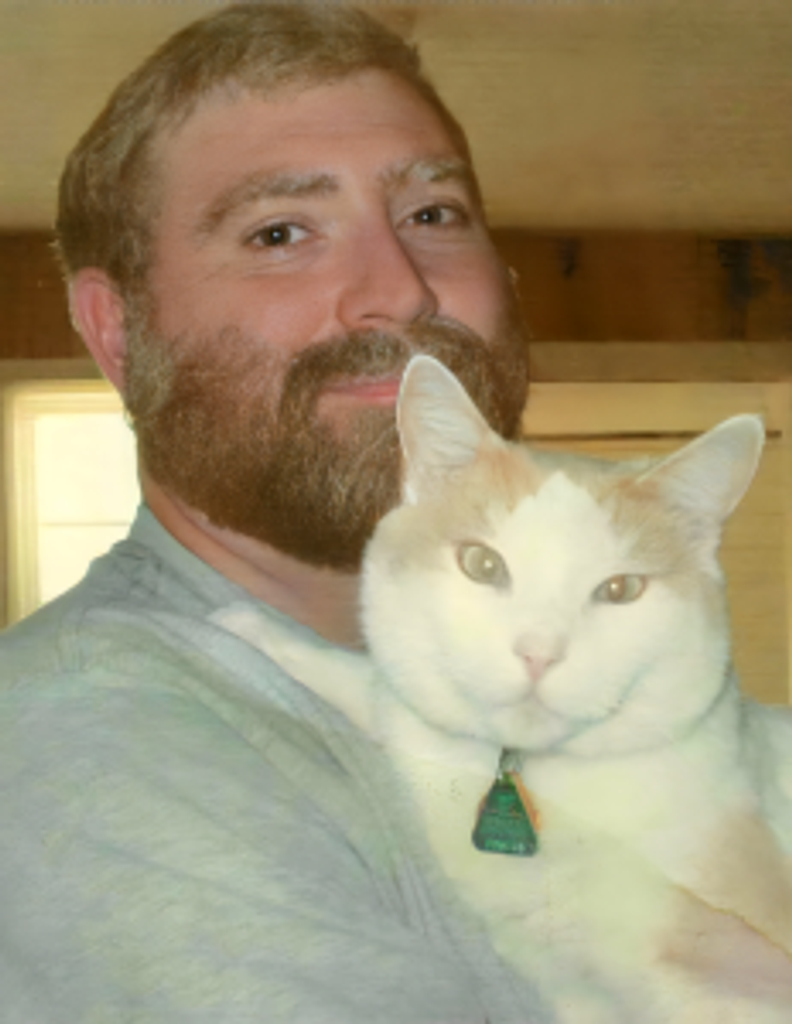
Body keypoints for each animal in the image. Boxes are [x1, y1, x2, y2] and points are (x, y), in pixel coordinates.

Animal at [213, 354, 792, 1022]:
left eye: (620, 590)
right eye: (482, 564)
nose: (539, 652)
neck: (534, 775)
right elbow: (379, 692)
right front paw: (251, 628)